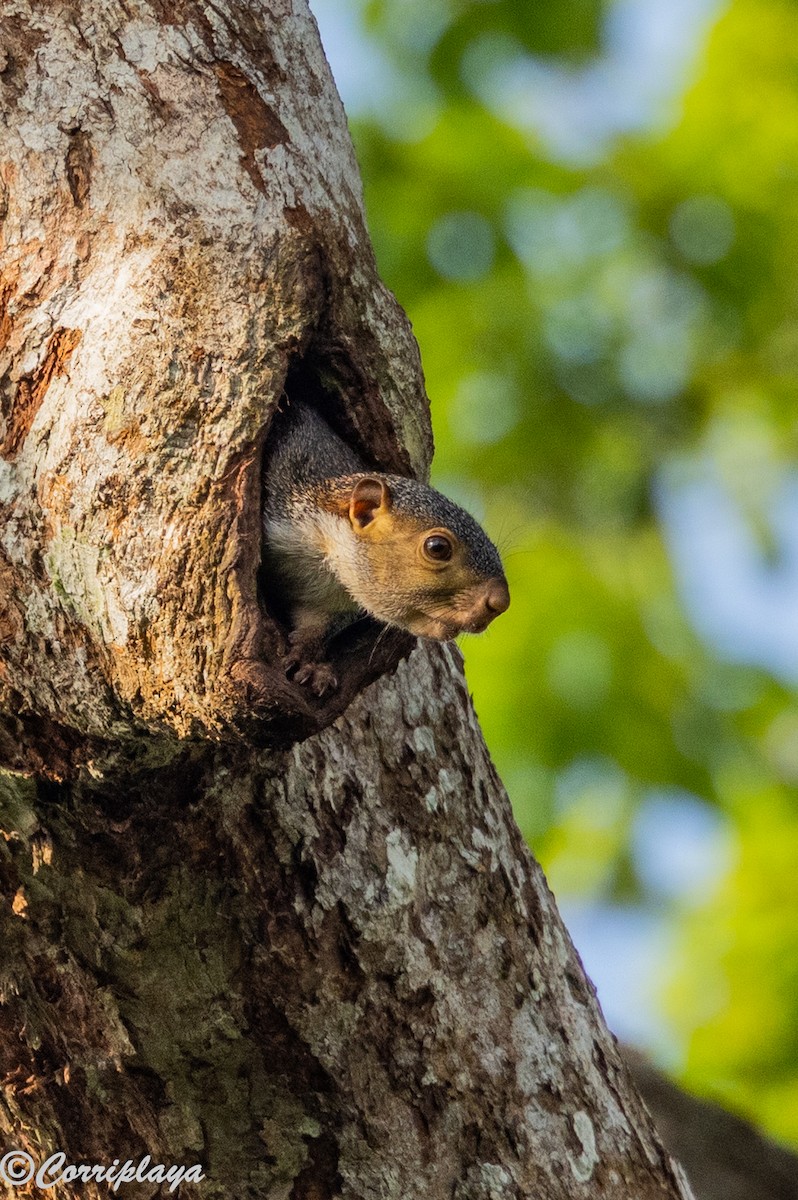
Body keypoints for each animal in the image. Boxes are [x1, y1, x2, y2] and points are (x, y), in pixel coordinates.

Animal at [261, 402, 510, 695]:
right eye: (437, 547)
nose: (499, 602)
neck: (326, 554)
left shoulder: (330, 606)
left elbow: (315, 626)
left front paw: (310, 660)